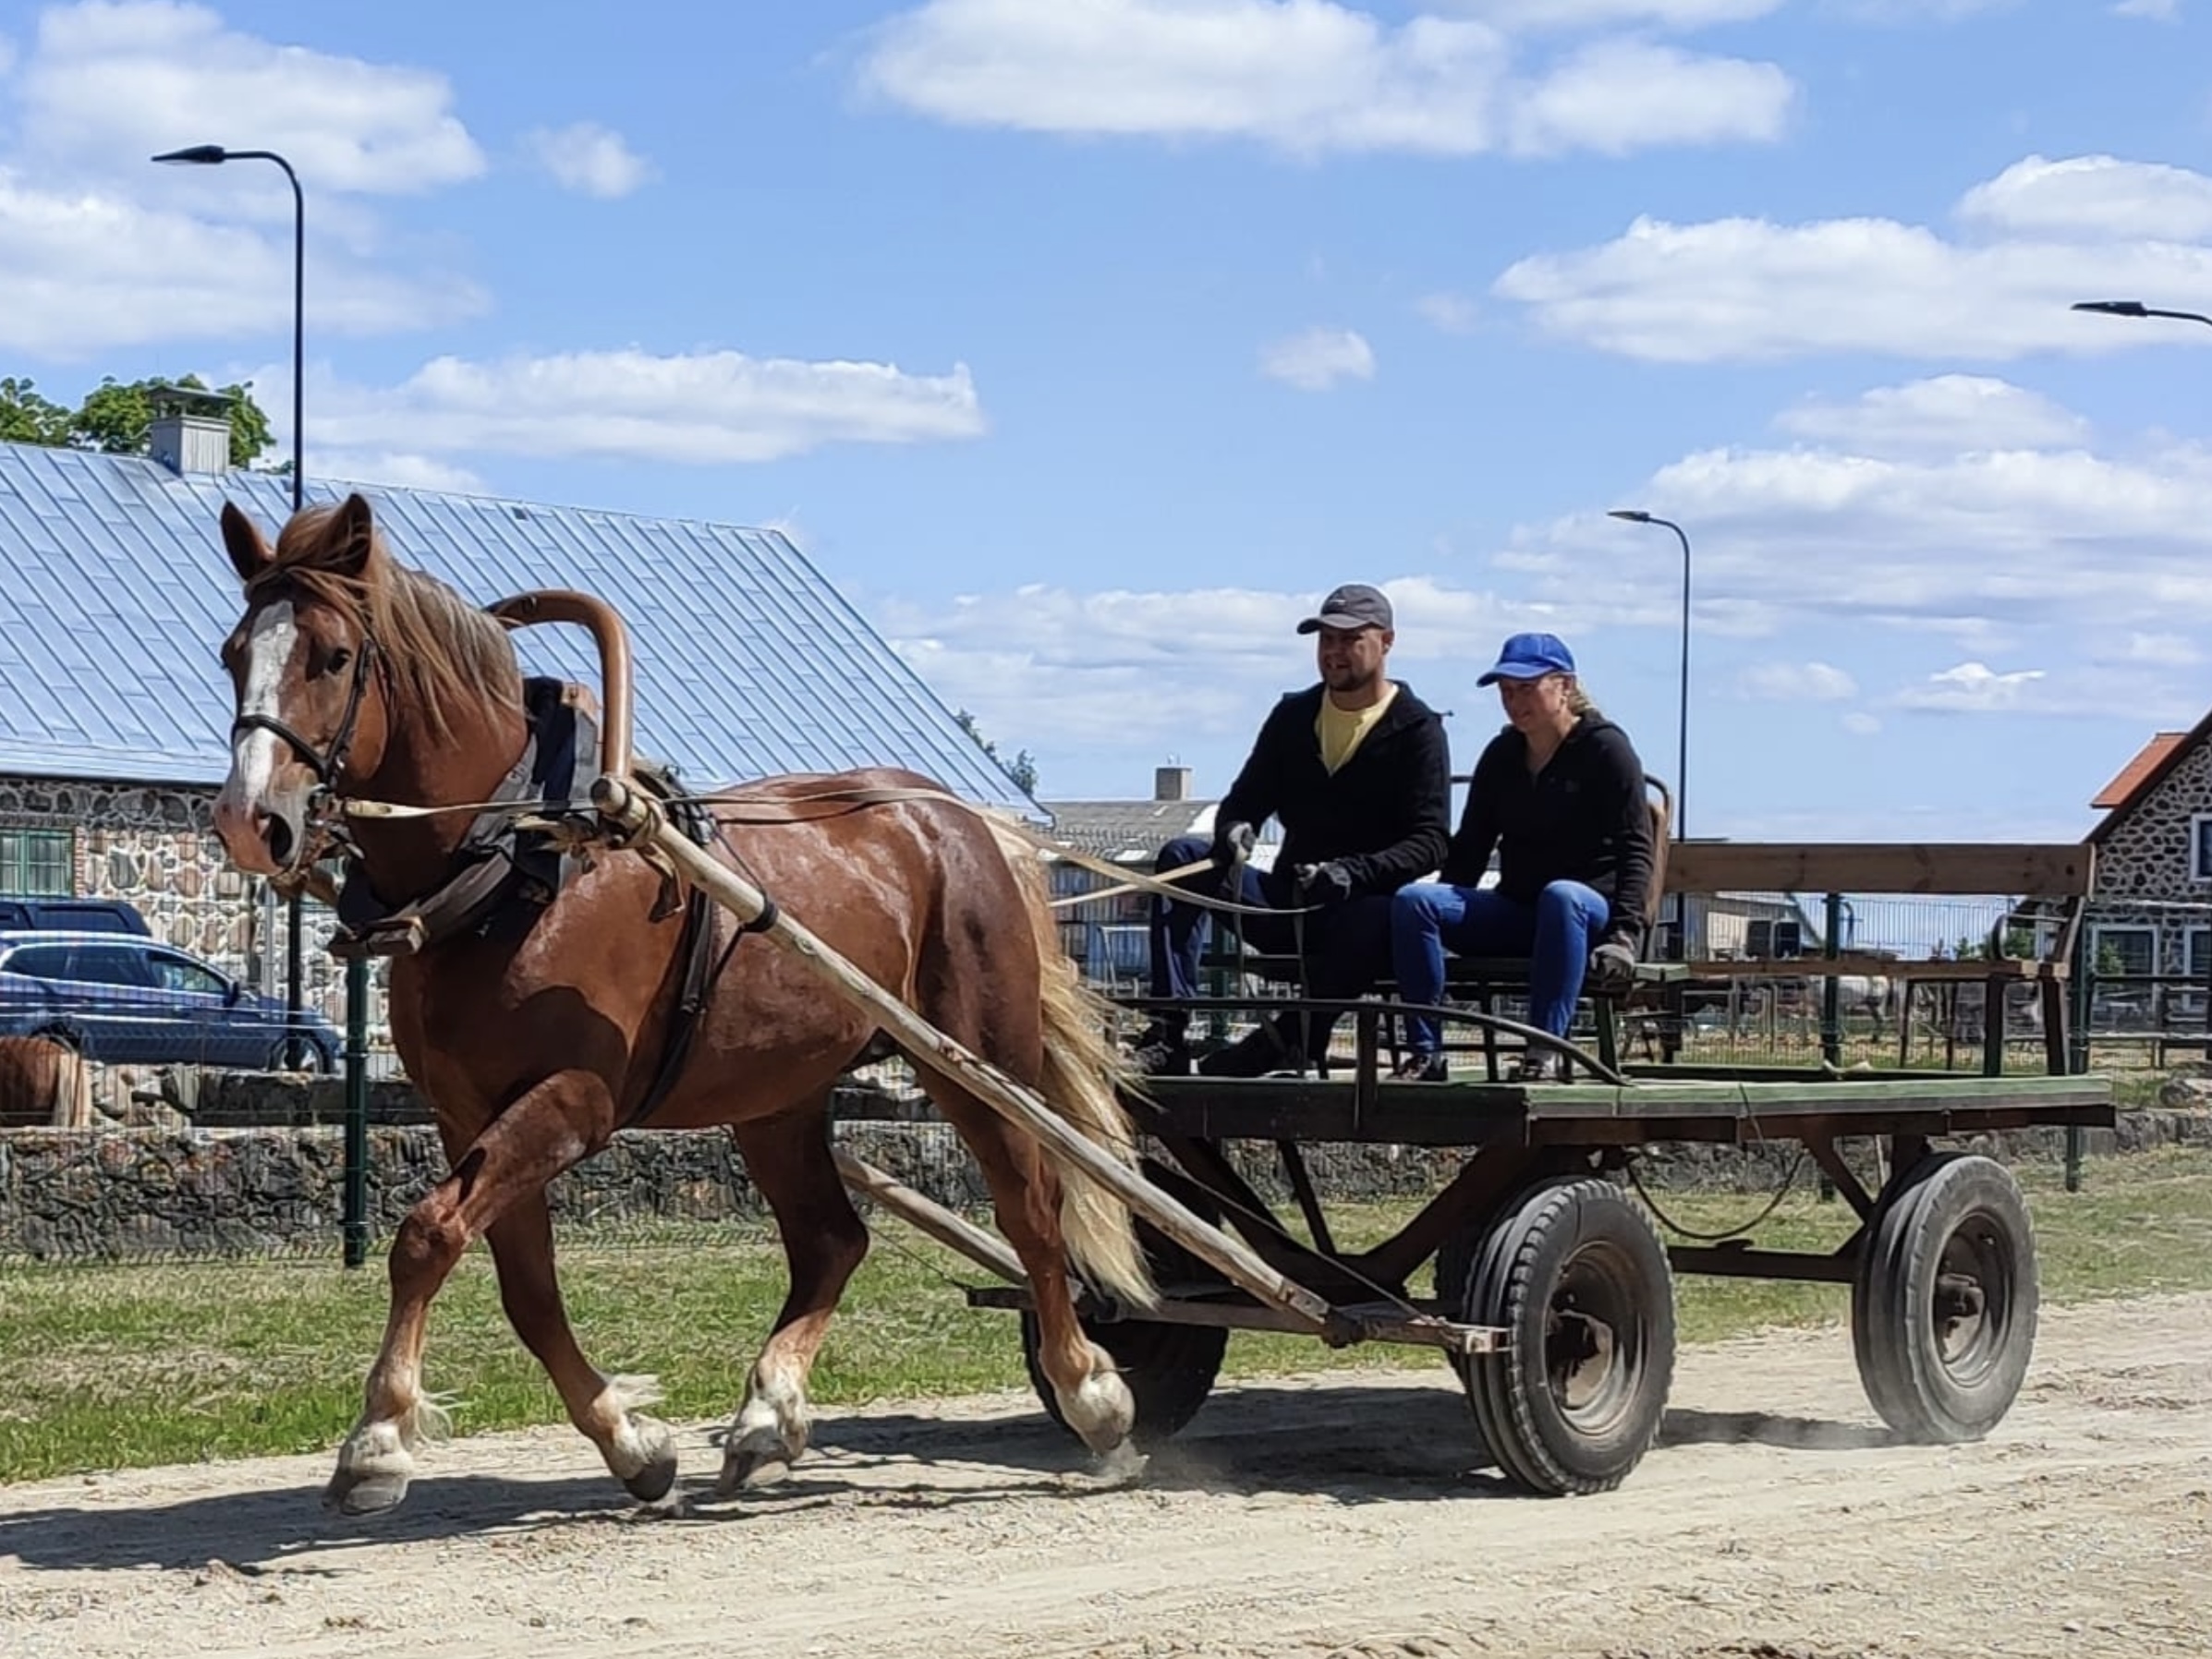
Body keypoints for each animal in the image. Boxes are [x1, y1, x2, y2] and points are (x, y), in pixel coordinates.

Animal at [203, 497, 1159, 1521]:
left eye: (334, 656)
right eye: (233, 651)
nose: (248, 820)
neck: (519, 859)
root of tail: (958, 816)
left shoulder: (572, 1101)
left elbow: (425, 1236)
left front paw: (378, 1439)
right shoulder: (472, 1114)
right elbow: (526, 1289)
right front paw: (632, 1442)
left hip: (977, 1058)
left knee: (1033, 1211)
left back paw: (1094, 1399)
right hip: (776, 1098)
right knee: (833, 1240)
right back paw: (766, 1419)